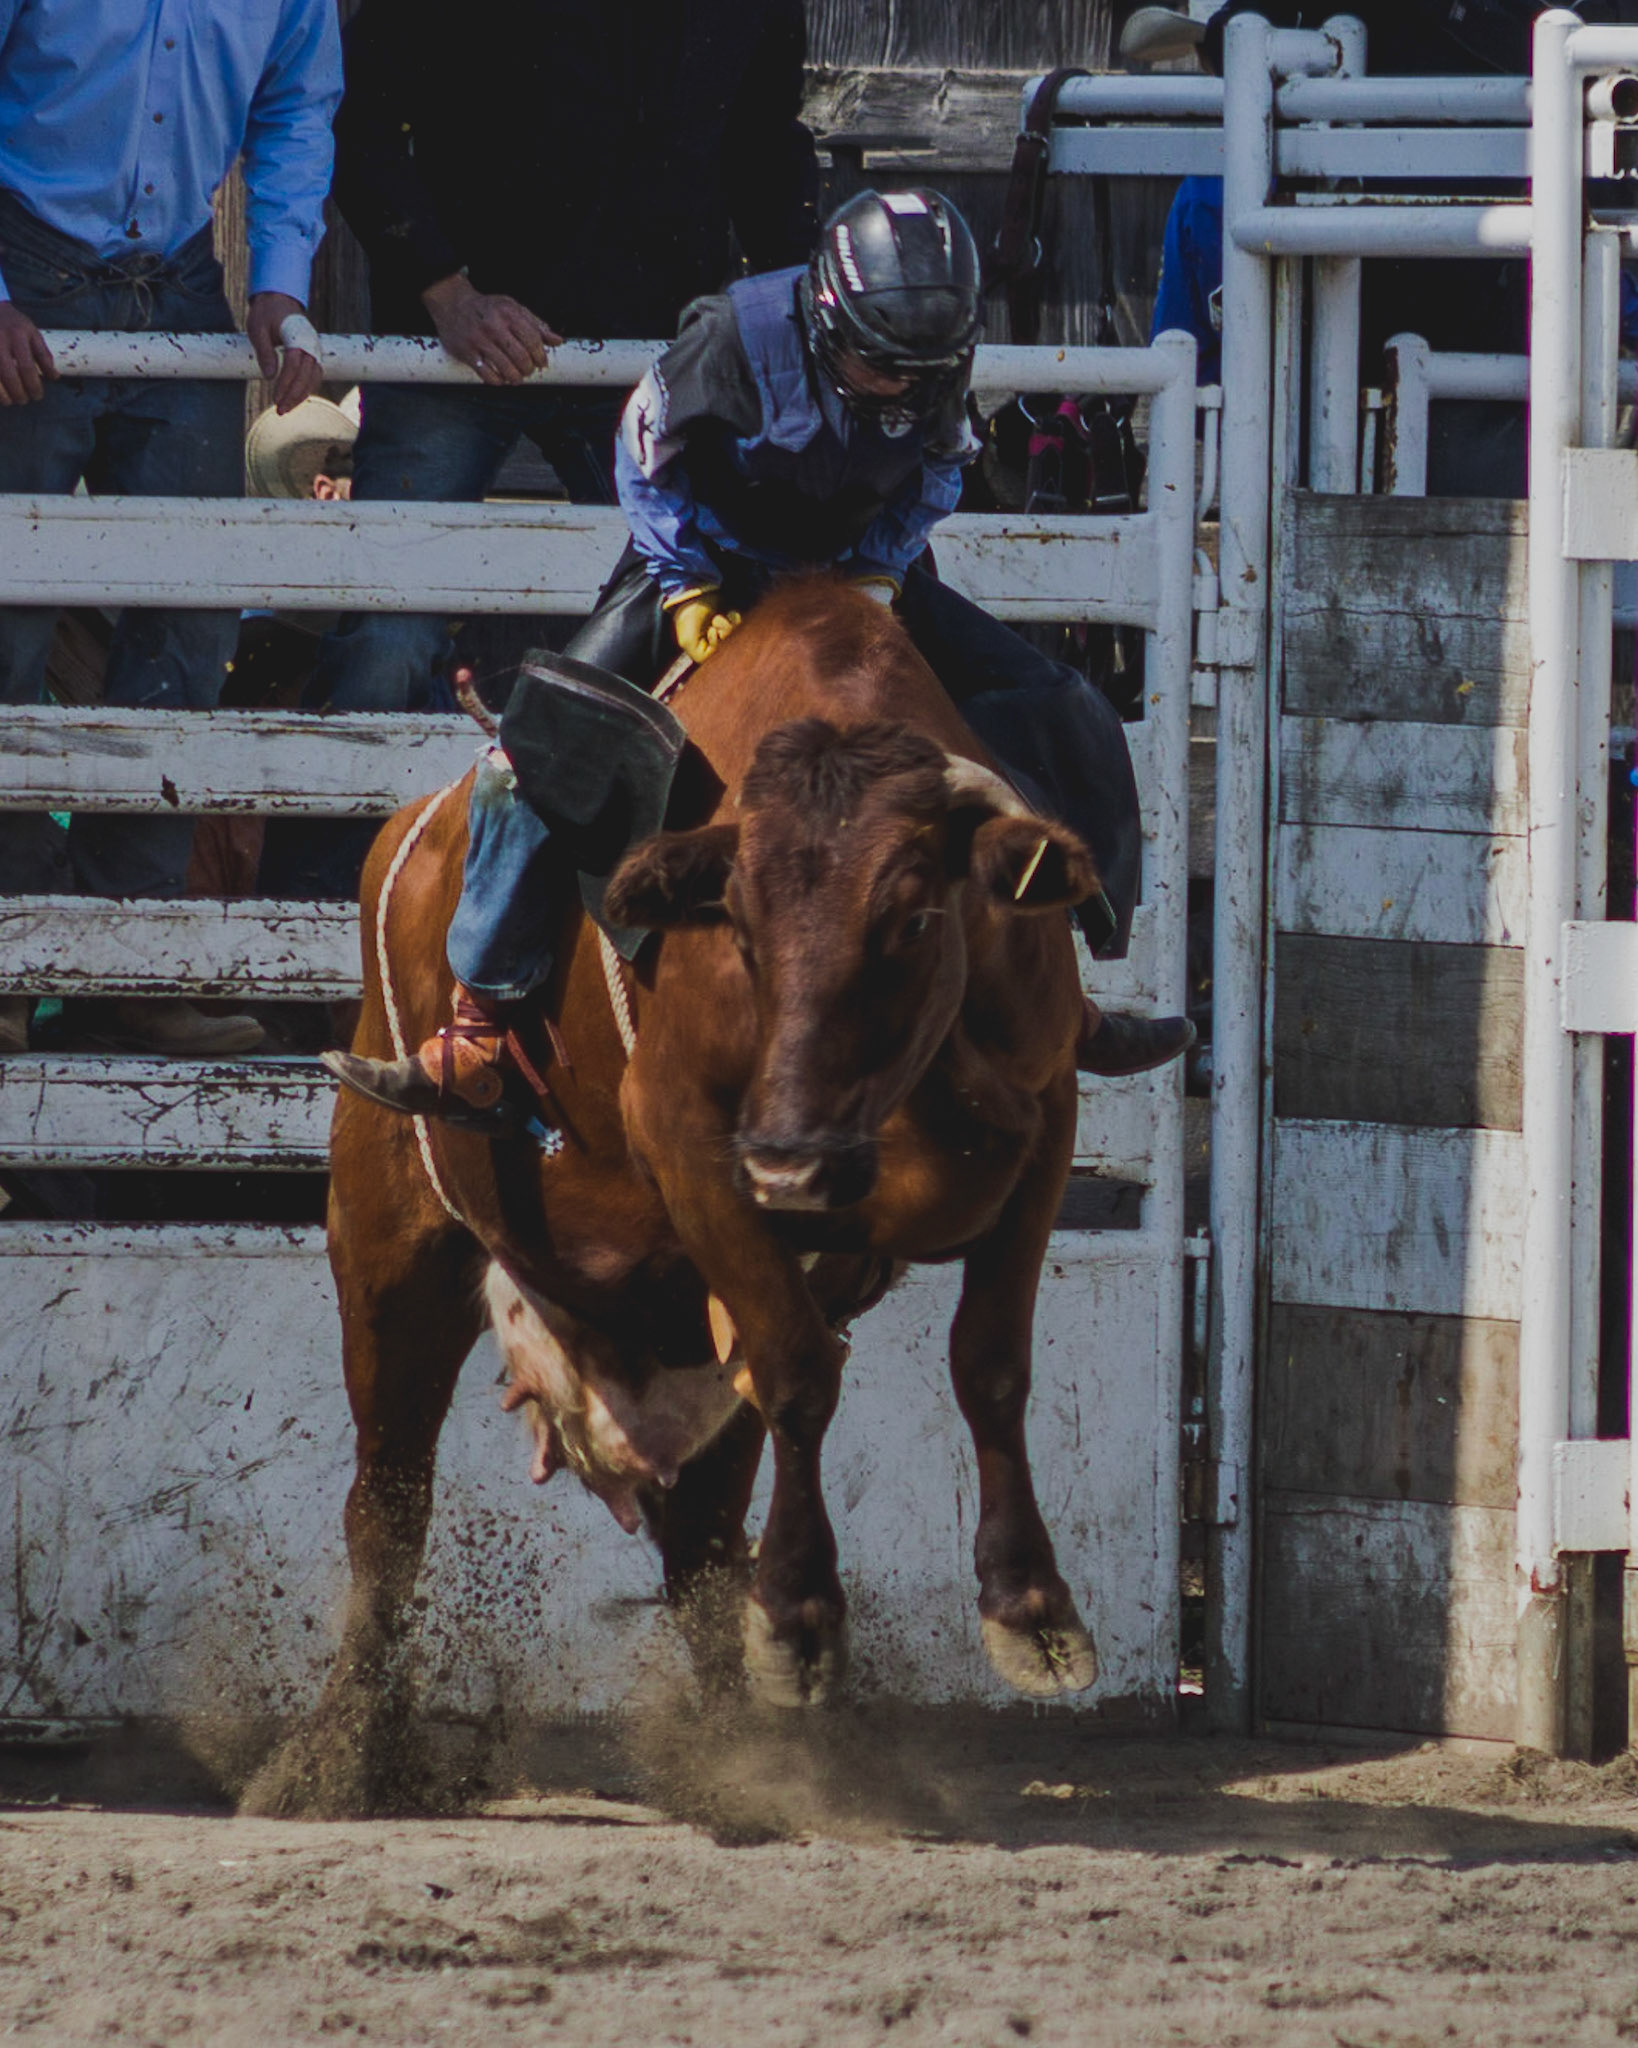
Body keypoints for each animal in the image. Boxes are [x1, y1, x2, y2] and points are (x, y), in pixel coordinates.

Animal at [245, 576, 1107, 1817]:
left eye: (915, 915)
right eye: (733, 922)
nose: (792, 1165)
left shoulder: (1043, 1121)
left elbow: (988, 1362)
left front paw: (1030, 1613)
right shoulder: (694, 1145)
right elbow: (801, 1374)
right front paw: (798, 1625)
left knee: (699, 1540)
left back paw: (740, 1753)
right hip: (389, 1246)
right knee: (389, 1508)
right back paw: (340, 1760)